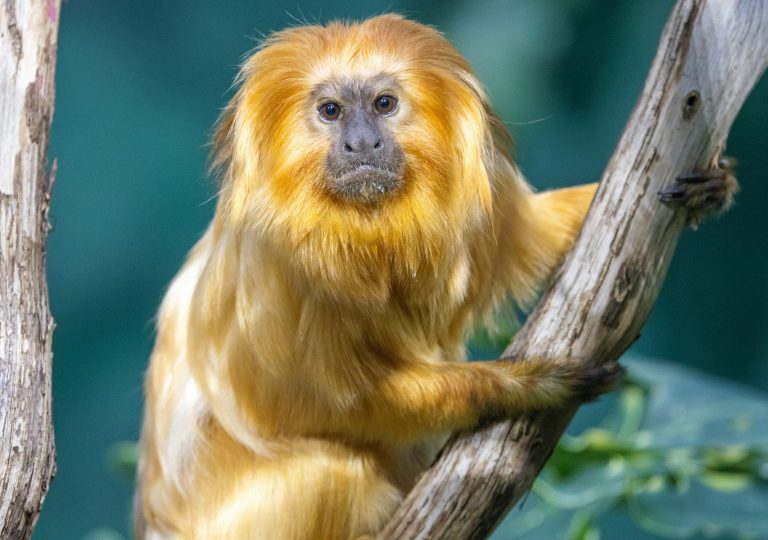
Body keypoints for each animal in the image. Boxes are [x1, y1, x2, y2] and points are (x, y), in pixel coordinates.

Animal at [134, 14, 737, 539]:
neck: (369, 230)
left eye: (384, 104)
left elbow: (544, 234)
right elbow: (319, 406)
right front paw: (524, 385)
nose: (360, 143)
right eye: (330, 110)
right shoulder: (277, 267)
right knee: (335, 470)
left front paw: (712, 187)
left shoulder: (482, 194)